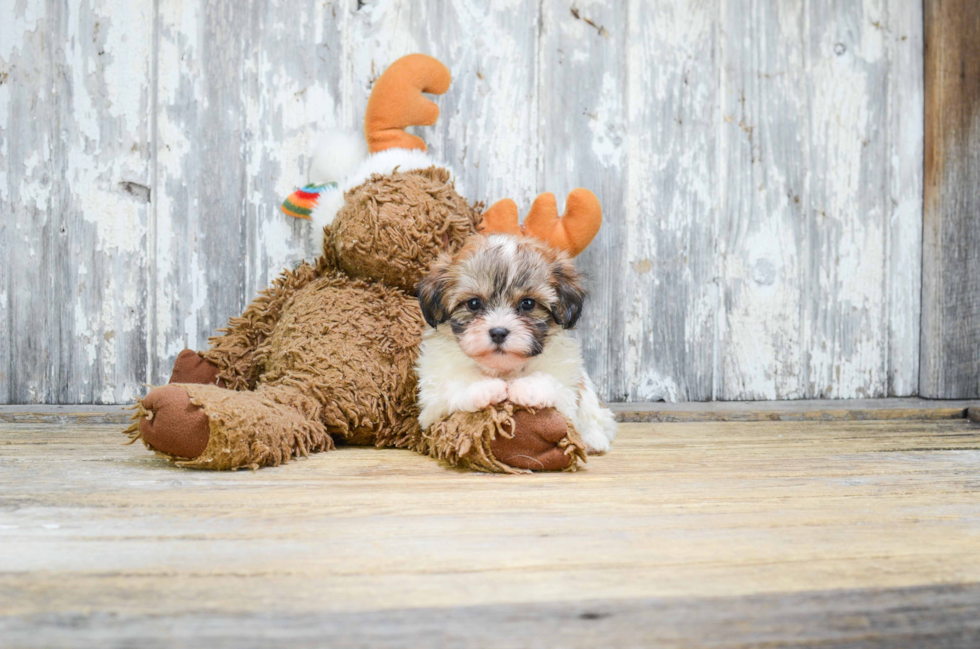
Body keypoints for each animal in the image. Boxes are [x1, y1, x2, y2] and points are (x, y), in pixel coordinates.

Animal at [416, 235, 616, 454]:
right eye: (474, 303)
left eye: (528, 304)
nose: (498, 332)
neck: (503, 369)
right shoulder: (432, 400)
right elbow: (452, 383)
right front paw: (484, 387)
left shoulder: (566, 386)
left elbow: (554, 384)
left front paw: (528, 387)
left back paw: (593, 439)